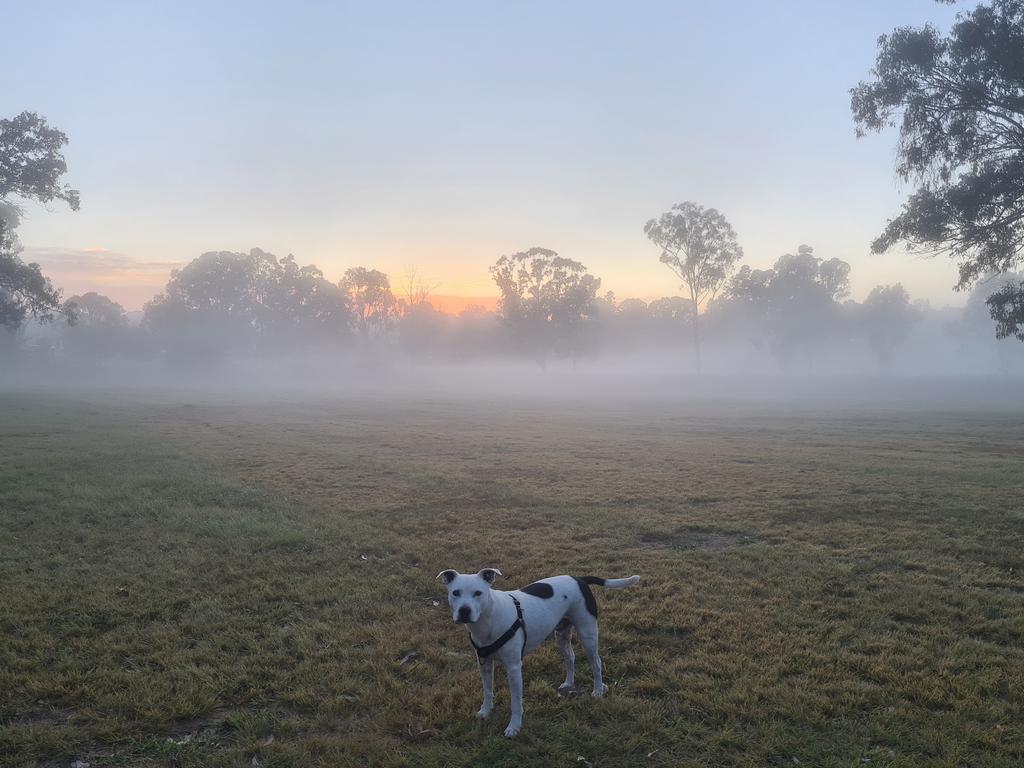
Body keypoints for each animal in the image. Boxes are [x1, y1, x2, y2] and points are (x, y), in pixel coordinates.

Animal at [434, 565, 638, 741]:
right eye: (455, 593)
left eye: (478, 593)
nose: (464, 611)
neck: (488, 619)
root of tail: (579, 579)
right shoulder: (484, 663)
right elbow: (488, 691)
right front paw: (485, 711)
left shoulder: (514, 668)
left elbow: (516, 702)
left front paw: (514, 727)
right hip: (561, 635)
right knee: (570, 657)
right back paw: (569, 683)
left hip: (587, 634)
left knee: (596, 663)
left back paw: (597, 690)